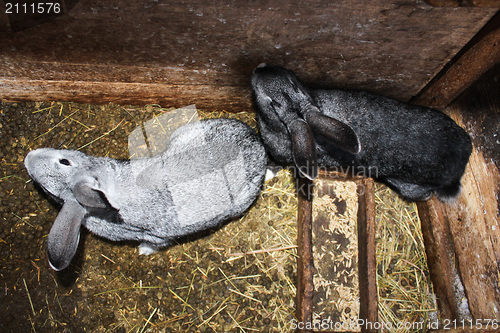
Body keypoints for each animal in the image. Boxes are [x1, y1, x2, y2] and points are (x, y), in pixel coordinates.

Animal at [25, 118, 268, 268]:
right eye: (49, 192)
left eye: (64, 161)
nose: (28, 157)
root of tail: (255, 141)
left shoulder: (157, 236)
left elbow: (155, 244)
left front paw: (143, 252)